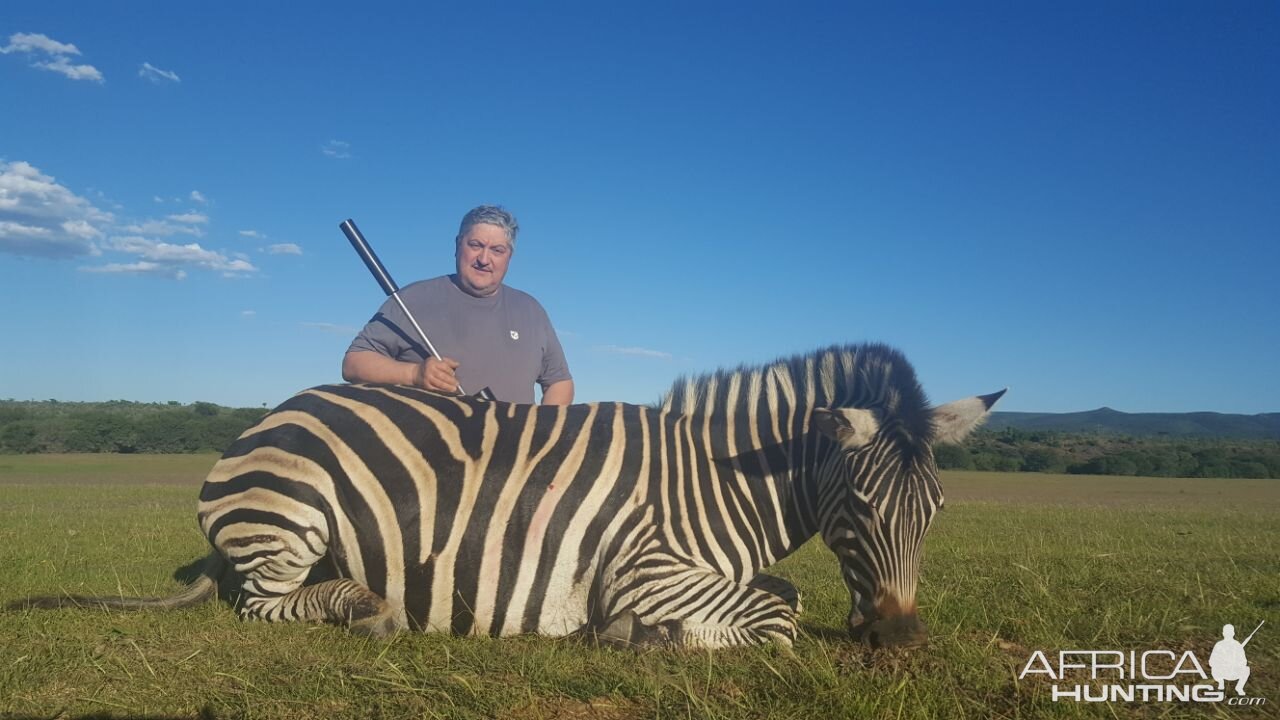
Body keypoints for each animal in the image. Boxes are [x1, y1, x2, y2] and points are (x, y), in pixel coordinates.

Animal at [15, 338, 1003, 648]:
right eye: (863, 510)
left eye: (936, 513)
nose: (903, 640)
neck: (717, 481)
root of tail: (269, 416)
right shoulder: (646, 569)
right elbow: (780, 616)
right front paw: (638, 637)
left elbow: (786, 592)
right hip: (288, 516)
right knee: (262, 604)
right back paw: (365, 608)